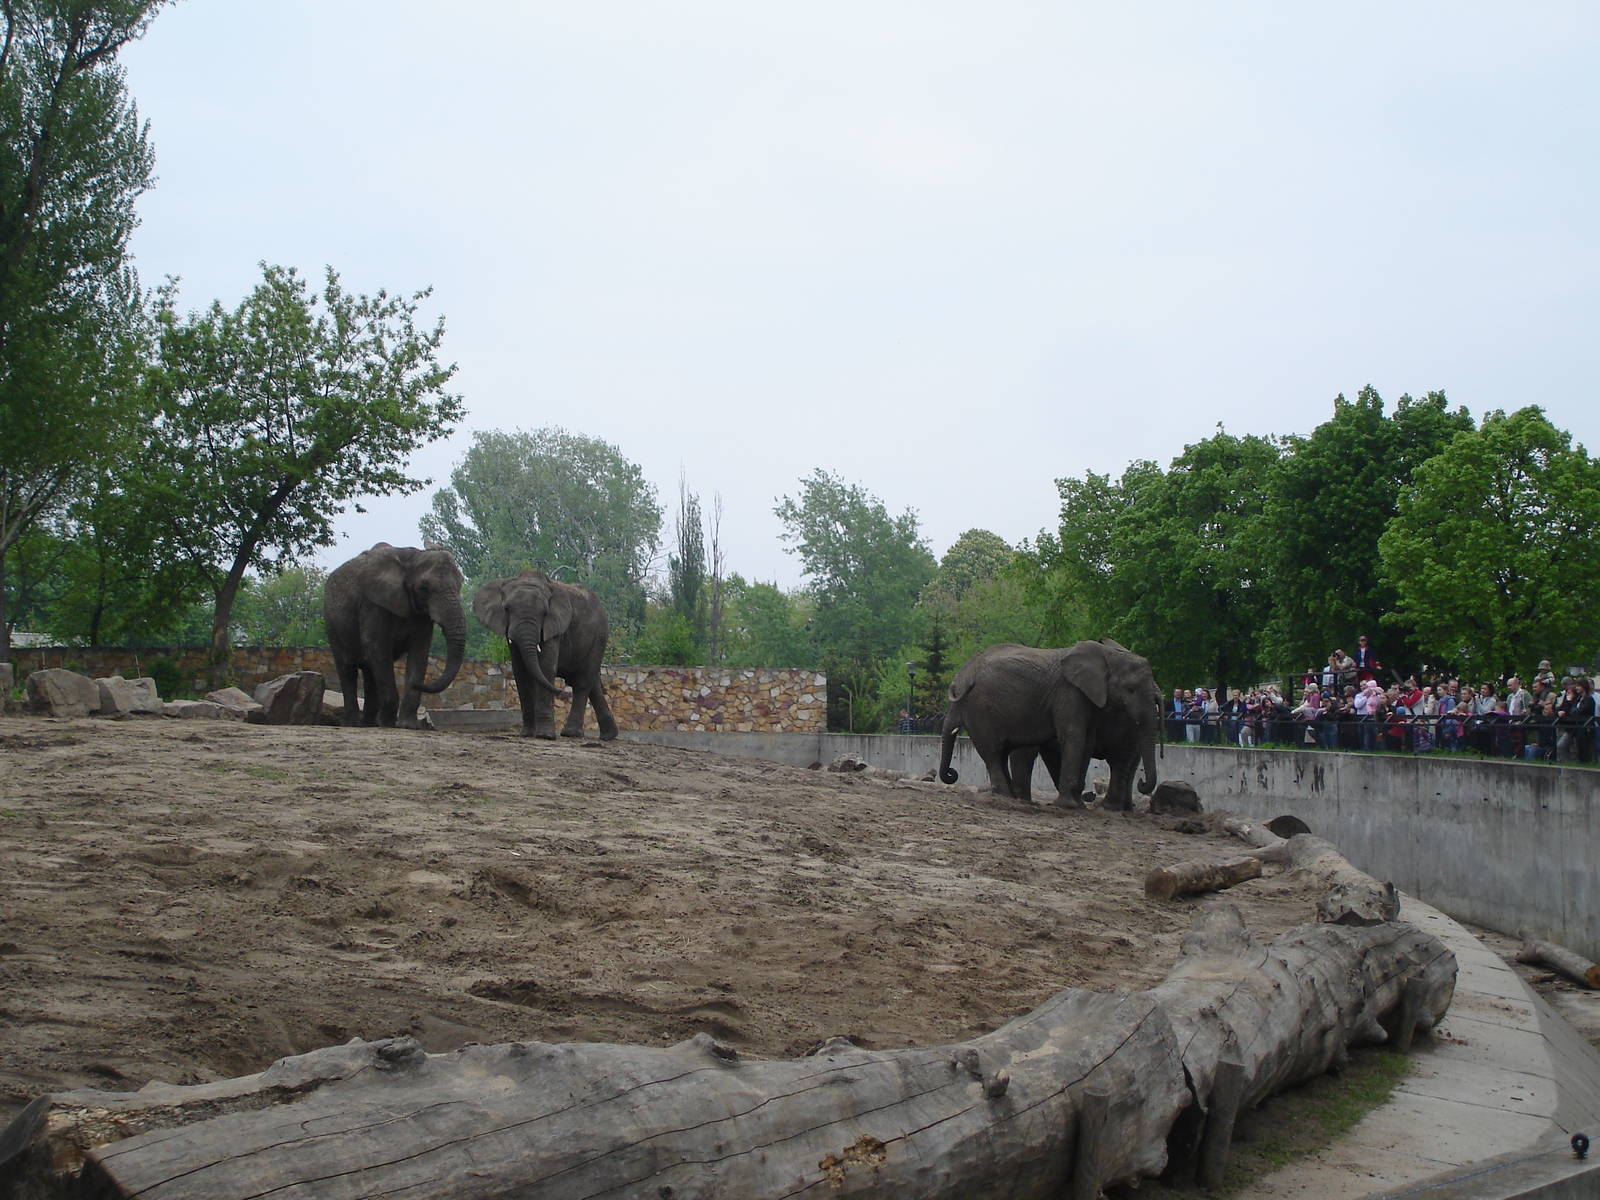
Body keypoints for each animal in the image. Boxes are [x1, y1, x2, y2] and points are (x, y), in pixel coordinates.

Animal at [323, 542, 468, 729]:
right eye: (424, 589)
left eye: (459, 586)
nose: (419, 685)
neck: (413, 557)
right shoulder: (373, 604)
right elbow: (377, 648)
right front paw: (388, 724)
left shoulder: (420, 614)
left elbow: (419, 653)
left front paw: (409, 726)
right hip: (331, 620)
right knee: (347, 668)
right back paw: (356, 724)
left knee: (369, 672)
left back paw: (369, 724)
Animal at [472, 569, 618, 741]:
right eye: (507, 608)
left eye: (544, 613)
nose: (563, 693)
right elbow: (520, 671)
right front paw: (527, 734)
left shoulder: (554, 626)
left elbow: (546, 667)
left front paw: (544, 736)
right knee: (592, 682)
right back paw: (608, 736)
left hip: (599, 637)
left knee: (583, 681)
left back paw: (571, 734)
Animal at [938, 639, 1160, 811]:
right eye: (1131, 689)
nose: (952, 774)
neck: (1107, 656)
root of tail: (966, 672)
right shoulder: (1068, 693)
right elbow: (1072, 736)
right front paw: (1069, 805)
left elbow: (1085, 740)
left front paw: (1076, 805)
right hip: (981, 710)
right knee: (993, 753)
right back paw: (1006, 797)